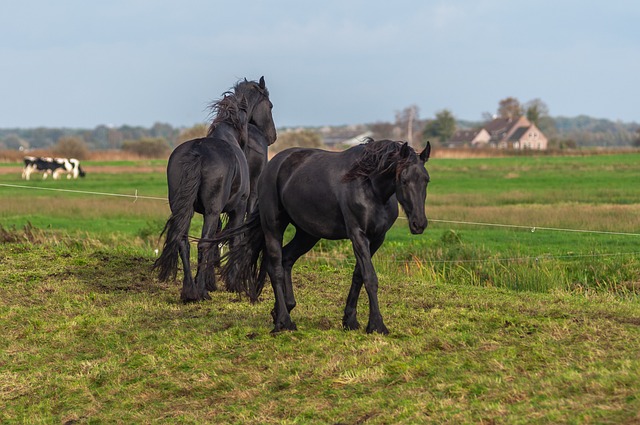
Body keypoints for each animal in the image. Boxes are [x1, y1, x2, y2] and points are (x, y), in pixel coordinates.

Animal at [156, 76, 276, 302]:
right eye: (270, 105)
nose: (273, 136)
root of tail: (196, 152)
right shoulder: (238, 207)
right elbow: (234, 241)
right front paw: (235, 284)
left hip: (183, 209)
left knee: (183, 242)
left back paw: (189, 291)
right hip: (213, 211)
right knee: (204, 243)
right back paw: (200, 291)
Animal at [219, 138, 430, 332]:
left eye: (426, 180)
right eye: (404, 180)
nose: (419, 224)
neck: (370, 188)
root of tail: (273, 164)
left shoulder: (377, 238)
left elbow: (358, 276)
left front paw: (350, 321)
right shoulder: (358, 235)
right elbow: (370, 278)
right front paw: (377, 325)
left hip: (307, 234)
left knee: (287, 259)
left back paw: (281, 310)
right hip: (273, 227)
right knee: (275, 267)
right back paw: (284, 322)